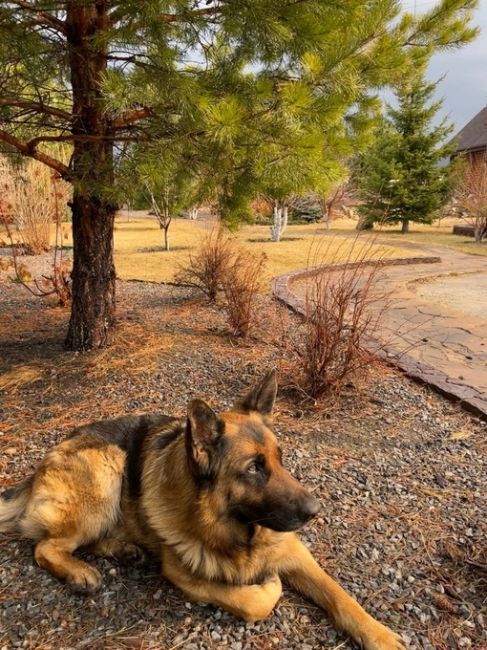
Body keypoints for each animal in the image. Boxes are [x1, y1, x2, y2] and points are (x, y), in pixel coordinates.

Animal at [0, 370, 404, 648]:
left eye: (281, 459)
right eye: (253, 468)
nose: (315, 510)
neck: (237, 533)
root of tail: (41, 465)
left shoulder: (296, 553)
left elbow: (340, 595)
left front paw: (379, 635)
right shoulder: (187, 578)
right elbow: (255, 601)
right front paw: (270, 584)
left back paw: (123, 549)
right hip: (106, 472)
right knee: (45, 546)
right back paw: (79, 571)